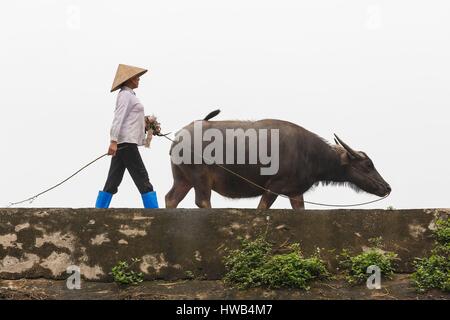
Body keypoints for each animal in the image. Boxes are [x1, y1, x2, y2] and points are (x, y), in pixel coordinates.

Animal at [165, 111, 390, 209]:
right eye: (368, 165)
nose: (387, 187)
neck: (310, 155)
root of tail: (177, 138)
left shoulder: (295, 191)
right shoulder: (274, 186)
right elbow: (262, 208)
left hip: (183, 179)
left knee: (171, 199)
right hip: (200, 177)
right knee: (202, 201)